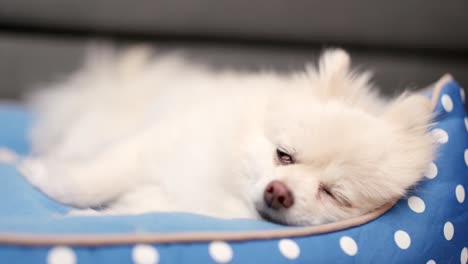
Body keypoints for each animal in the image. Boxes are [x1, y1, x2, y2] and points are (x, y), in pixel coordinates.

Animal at [18, 47, 436, 225]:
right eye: (284, 154)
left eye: (335, 195)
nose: (279, 192)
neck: (226, 192)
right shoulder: (150, 146)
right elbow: (88, 181)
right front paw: (36, 174)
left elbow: (135, 209)